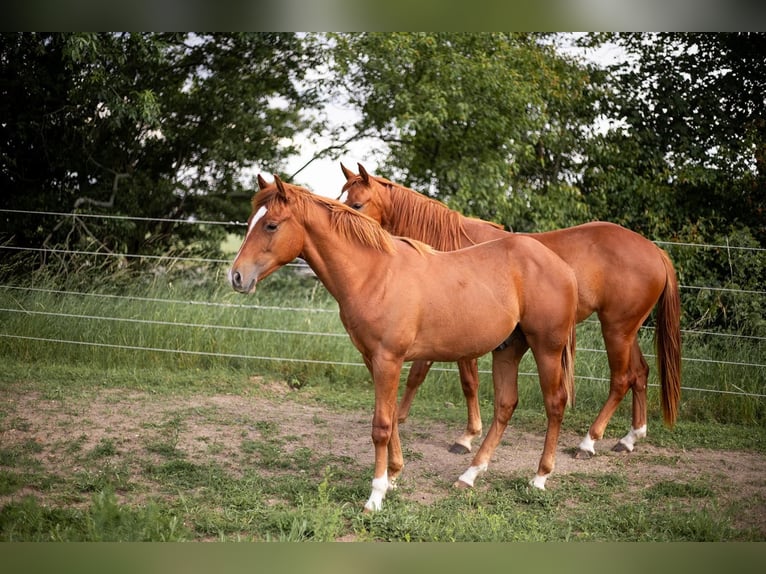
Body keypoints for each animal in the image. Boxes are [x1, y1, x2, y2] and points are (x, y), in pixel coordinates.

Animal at [231, 176, 580, 512]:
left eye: (271, 225)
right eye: (250, 221)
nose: (236, 277)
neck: (374, 274)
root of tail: (561, 264)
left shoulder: (388, 359)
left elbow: (382, 425)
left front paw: (375, 497)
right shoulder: (373, 359)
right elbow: (392, 417)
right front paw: (394, 476)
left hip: (546, 348)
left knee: (555, 403)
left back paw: (539, 477)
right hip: (508, 350)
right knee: (506, 405)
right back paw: (469, 474)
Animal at [342, 162, 684, 460]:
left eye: (357, 204)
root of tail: (654, 250)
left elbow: (456, 380)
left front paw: (464, 436)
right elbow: (428, 376)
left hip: (615, 330)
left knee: (621, 379)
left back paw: (589, 442)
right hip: (626, 330)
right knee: (640, 373)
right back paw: (630, 438)